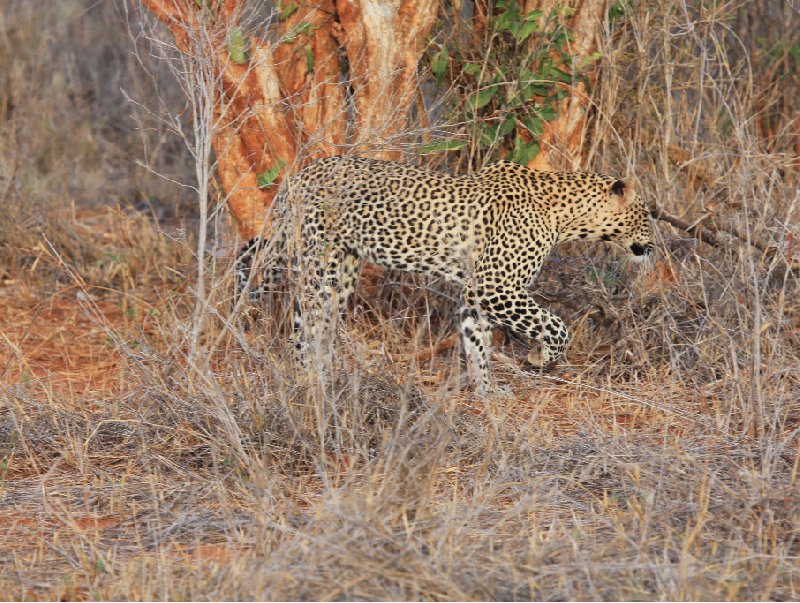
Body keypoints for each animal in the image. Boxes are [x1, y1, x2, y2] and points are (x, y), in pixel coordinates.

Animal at [233, 156, 656, 392]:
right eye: (647, 214)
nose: (653, 244)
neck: (567, 216)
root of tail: (300, 174)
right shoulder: (494, 286)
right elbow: (555, 325)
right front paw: (540, 359)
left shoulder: (475, 294)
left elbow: (478, 343)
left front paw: (488, 392)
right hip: (319, 266)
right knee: (303, 322)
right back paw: (311, 378)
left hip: (344, 270)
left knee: (313, 322)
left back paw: (320, 372)